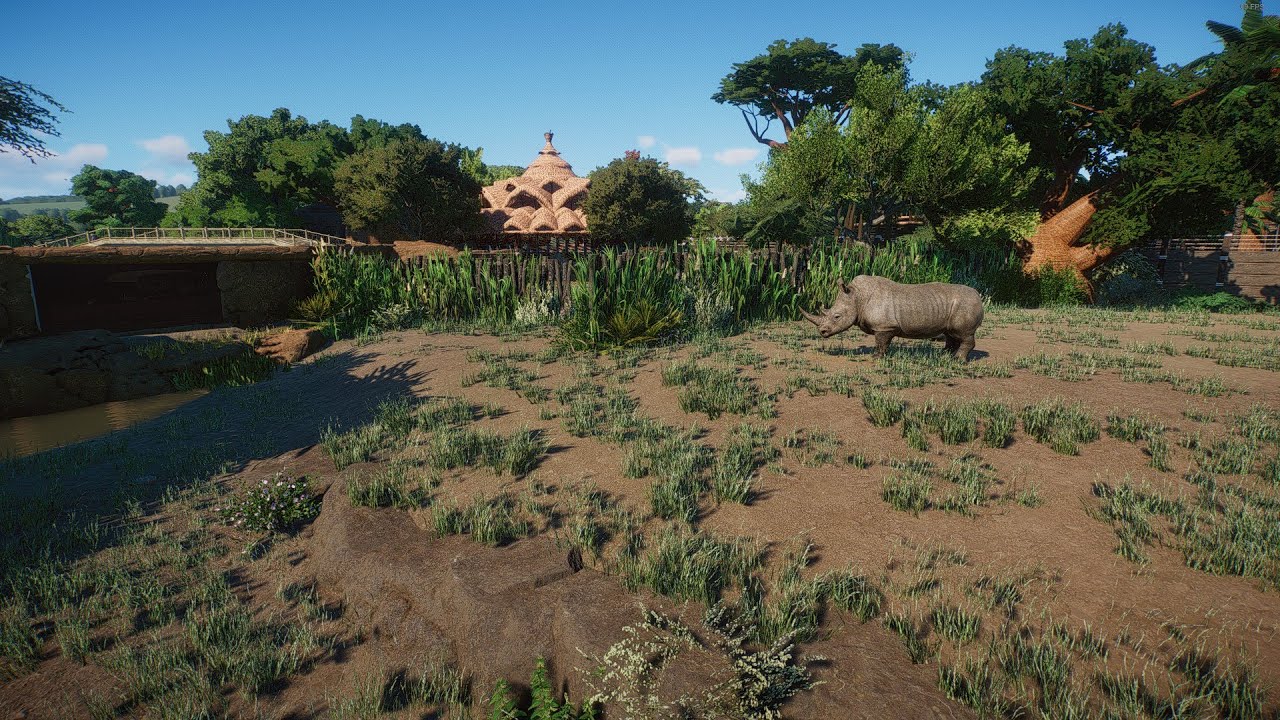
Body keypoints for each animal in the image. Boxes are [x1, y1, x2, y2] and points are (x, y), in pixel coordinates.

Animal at [801, 275, 985, 361]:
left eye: (837, 316)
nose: (822, 332)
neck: (857, 297)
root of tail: (978, 295)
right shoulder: (884, 326)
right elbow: (882, 343)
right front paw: (877, 356)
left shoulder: (884, 326)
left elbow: (881, 343)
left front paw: (876, 358)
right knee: (950, 333)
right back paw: (944, 355)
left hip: (966, 304)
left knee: (963, 334)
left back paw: (957, 360)